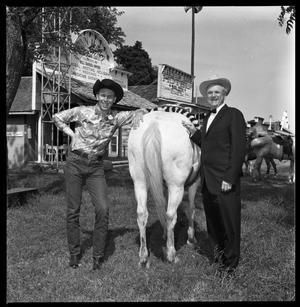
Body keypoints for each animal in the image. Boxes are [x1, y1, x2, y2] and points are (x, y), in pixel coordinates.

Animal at [127, 110, 200, 268]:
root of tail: (155, 123)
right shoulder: (194, 183)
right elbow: (191, 208)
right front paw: (191, 238)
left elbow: (162, 205)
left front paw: (165, 233)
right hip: (176, 186)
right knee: (171, 215)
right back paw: (171, 254)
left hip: (139, 181)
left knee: (142, 213)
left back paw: (143, 256)